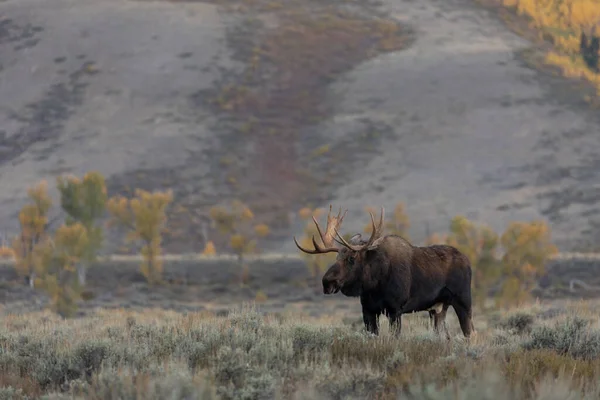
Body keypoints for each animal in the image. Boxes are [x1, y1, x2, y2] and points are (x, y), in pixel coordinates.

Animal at [292, 205, 476, 340]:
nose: (327, 282)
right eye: (337, 257)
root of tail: (468, 261)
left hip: (463, 301)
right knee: (445, 336)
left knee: (470, 333)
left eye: (352, 258)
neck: (374, 284)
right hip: (438, 309)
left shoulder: (395, 310)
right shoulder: (368, 311)